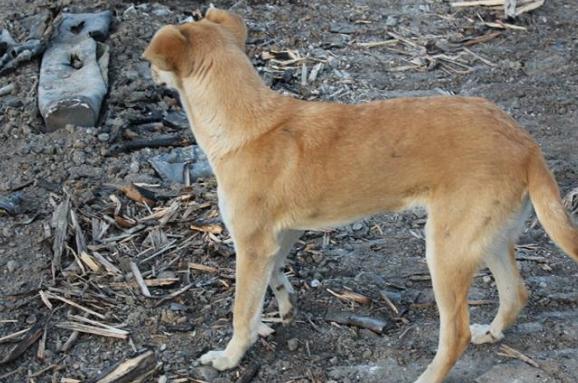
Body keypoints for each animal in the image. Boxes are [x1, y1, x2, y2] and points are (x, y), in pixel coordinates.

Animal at [141, 7, 576, 382]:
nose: (147, 75)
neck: (248, 123)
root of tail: (525, 143)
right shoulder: (280, 235)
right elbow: (273, 277)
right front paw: (281, 307)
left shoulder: (251, 244)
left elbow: (241, 310)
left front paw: (230, 356)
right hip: (488, 238)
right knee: (515, 293)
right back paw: (493, 332)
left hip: (446, 250)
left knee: (457, 333)